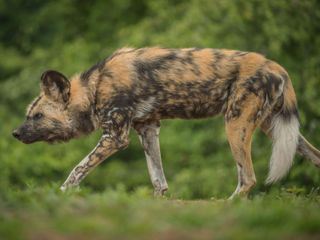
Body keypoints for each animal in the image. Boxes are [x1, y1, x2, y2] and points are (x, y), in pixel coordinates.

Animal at [12, 47, 320, 198]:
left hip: (235, 126)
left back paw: (226, 205)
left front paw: (60, 194)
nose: (15, 133)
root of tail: (276, 67)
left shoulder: (115, 138)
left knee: (248, 178)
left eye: (38, 116)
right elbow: (158, 180)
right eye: (29, 115)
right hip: (277, 129)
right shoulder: (147, 129)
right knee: (314, 156)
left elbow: (77, 169)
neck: (95, 88)